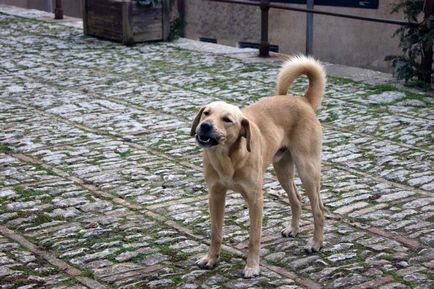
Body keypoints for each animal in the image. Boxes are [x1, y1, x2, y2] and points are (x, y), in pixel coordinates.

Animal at [190, 55, 326, 278]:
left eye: (227, 119)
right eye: (206, 113)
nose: (205, 126)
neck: (228, 159)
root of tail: (302, 100)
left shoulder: (255, 199)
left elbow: (254, 237)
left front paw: (252, 266)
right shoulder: (215, 195)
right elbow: (216, 232)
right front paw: (211, 259)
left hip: (307, 170)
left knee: (319, 209)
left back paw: (315, 243)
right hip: (283, 170)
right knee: (296, 199)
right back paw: (294, 229)